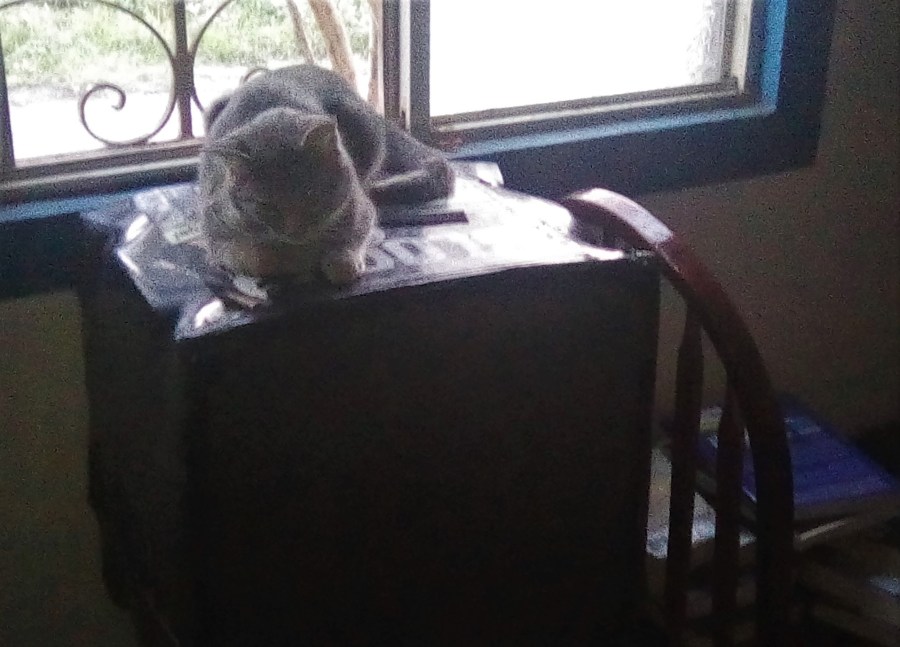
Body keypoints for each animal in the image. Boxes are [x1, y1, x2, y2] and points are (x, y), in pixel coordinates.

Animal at [198, 64, 453, 286]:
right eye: (264, 204)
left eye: (312, 193)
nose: (295, 231)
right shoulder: (216, 233)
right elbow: (257, 258)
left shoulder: (360, 208)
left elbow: (352, 242)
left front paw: (339, 261)